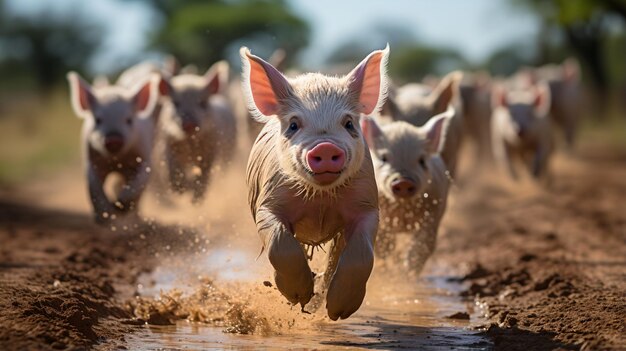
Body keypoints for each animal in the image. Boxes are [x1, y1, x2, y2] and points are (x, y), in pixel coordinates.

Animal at [67, 72, 160, 224]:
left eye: (129, 120)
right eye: (98, 120)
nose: (114, 139)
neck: (116, 161)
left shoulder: (146, 158)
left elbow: (139, 182)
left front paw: (120, 205)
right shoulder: (90, 162)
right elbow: (94, 189)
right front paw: (105, 217)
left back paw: (135, 218)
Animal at [156, 60, 236, 204]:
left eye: (203, 103)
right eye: (176, 103)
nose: (189, 123)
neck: (190, 145)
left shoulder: (211, 149)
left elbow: (205, 172)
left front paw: (196, 200)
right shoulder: (167, 145)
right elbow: (173, 170)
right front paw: (182, 191)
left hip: (230, 150)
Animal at [240, 45, 382, 320]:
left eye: (349, 123)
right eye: (294, 125)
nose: (325, 146)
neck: (320, 199)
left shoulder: (368, 204)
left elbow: (363, 256)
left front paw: (339, 312)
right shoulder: (268, 201)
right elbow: (280, 244)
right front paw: (298, 296)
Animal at [360, 107, 454, 276]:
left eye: (422, 160)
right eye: (384, 158)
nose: (403, 181)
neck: (402, 211)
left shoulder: (433, 217)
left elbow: (420, 248)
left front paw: (408, 276)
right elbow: (383, 247)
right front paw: (387, 275)